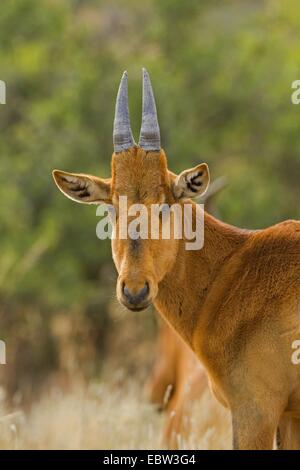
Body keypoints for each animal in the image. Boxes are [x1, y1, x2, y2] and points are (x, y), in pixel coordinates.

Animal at [52, 69, 300, 448]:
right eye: (110, 208)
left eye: (166, 205)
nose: (135, 291)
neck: (237, 266)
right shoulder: (288, 416)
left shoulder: (256, 411)